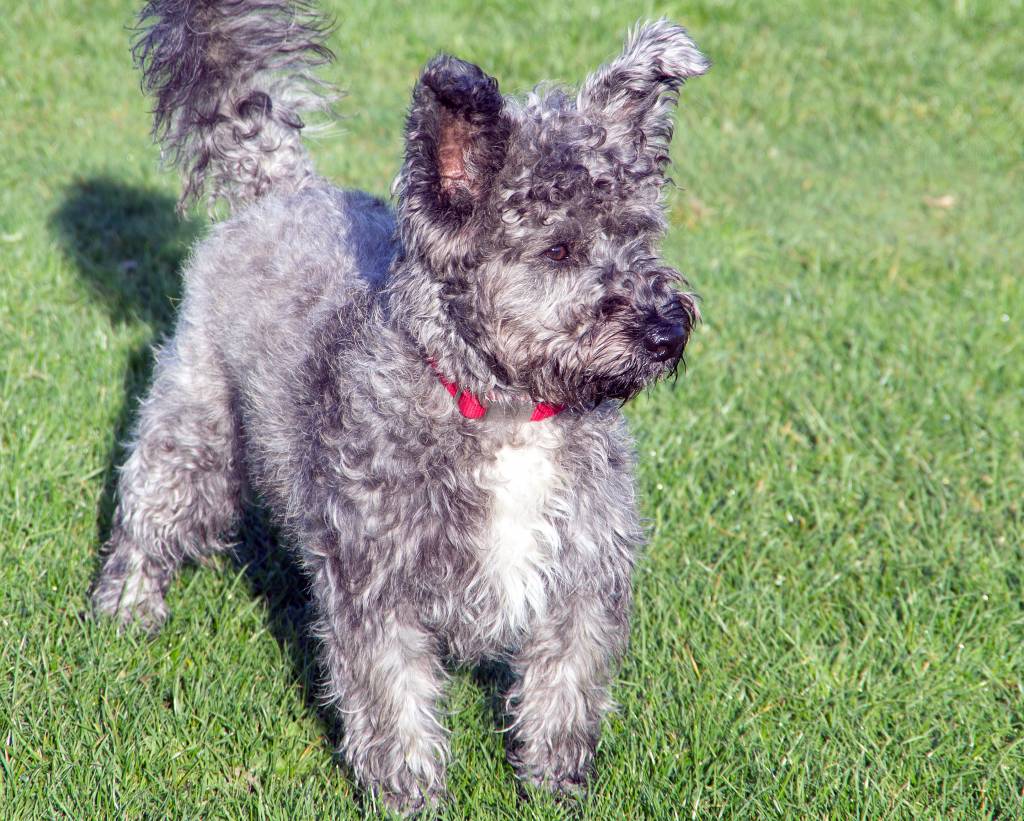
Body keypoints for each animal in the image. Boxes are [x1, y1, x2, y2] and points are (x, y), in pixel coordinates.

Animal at [92, 0, 708, 812]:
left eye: (638, 233)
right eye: (559, 250)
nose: (668, 330)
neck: (505, 416)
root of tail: (284, 186)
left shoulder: (582, 576)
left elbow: (563, 692)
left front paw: (555, 790)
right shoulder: (378, 591)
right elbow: (395, 706)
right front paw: (410, 798)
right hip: (193, 428)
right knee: (149, 516)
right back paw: (125, 609)